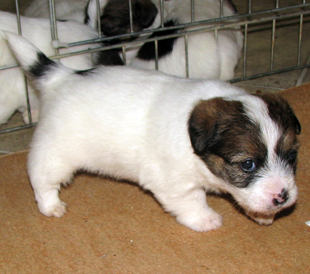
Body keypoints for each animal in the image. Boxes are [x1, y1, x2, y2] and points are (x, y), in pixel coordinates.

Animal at [5, 32, 300, 233]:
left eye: (291, 156)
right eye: (248, 164)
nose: (283, 196)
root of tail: (61, 76)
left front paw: (263, 214)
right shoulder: (174, 184)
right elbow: (193, 200)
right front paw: (206, 218)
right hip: (57, 153)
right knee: (41, 177)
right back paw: (50, 205)